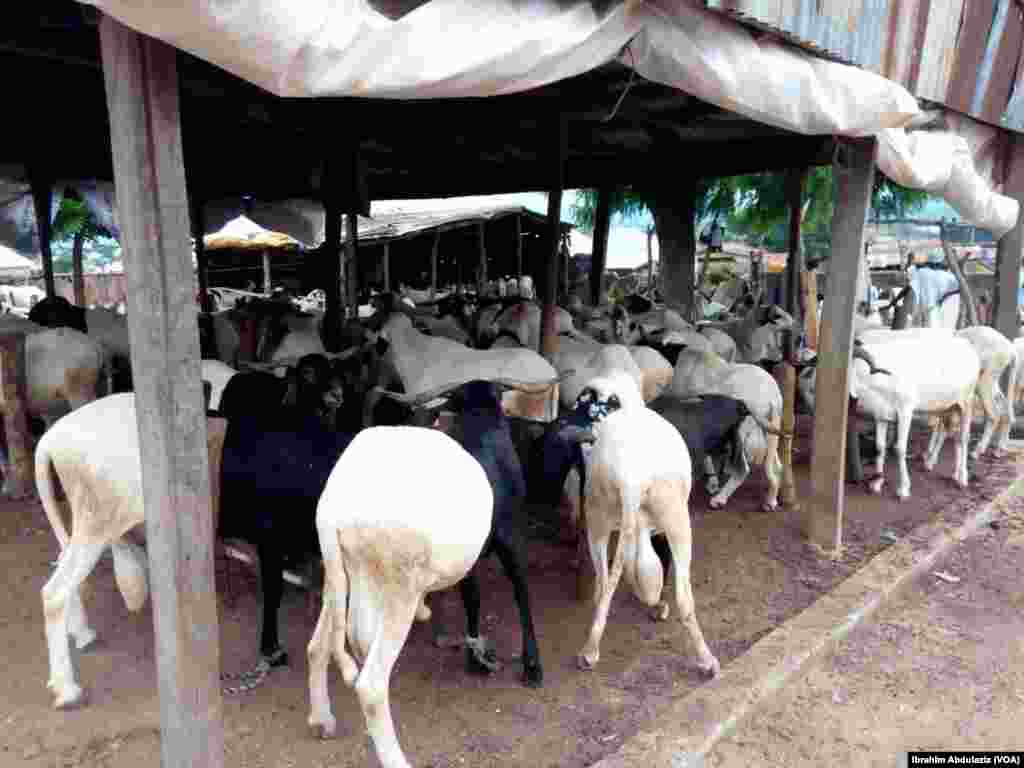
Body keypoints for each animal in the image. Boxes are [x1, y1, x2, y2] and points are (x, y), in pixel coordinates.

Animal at [303, 428, 495, 768]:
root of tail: (332, 510)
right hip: (397, 587)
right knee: (370, 683)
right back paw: (396, 760)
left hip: (343, 574)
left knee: (321, 645)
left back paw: (322, 719)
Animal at [552, 372, 720, 679]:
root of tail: (630, 475)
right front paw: (658, 606)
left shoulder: (634, 530)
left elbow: (638, 574)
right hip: (677, 521)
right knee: (684, 597)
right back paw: (706, 660)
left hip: (598, 517)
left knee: (603, 584)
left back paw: (590, 652)